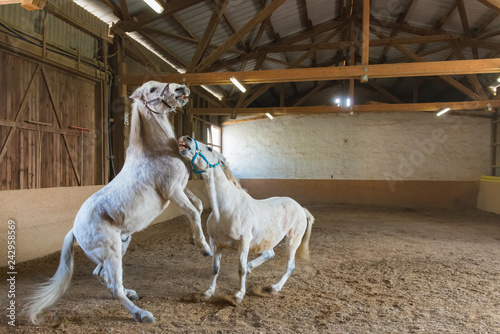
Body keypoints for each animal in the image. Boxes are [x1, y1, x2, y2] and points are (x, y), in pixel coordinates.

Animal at [24, 81, 211, 324]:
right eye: (152, 90)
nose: (182, 89)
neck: (157, 151)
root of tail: (74, 230)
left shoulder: (182, 187)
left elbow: (197, 206)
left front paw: (192, 239)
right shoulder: (172, 191)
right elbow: (193, 212)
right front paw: (205, 248)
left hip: (121, 244)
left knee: (102, 276)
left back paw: (132, 294)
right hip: (112, 251)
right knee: (115, 287)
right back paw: (142, 314)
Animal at [179, 136, 312, 302]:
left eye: (209, 148)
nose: (186, 138)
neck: (226, 209)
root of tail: (301, 208)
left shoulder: (243, 244)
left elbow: (240, 269)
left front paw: (239, 295)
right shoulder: (215, 244)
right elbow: (215, 269)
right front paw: (208, 292)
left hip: (293, 240)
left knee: (289, 266)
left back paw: (274, 287)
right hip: (268, 238)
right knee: (269, 254)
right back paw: (253, 270)